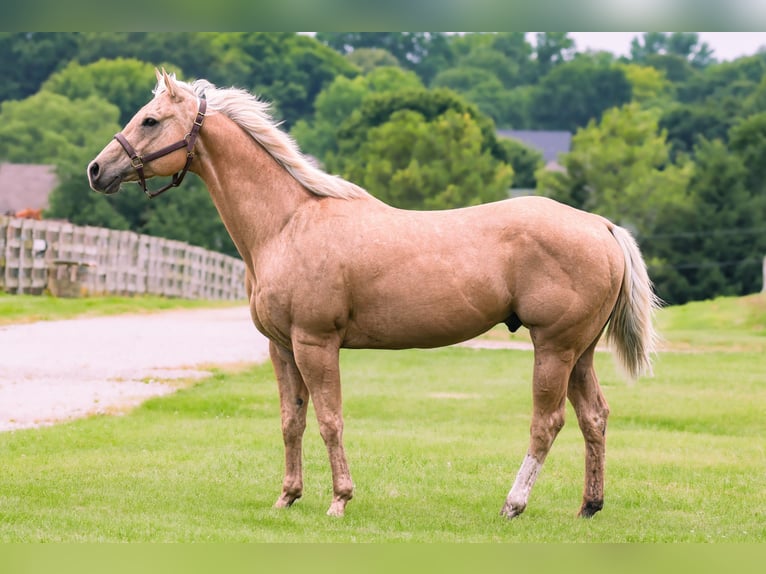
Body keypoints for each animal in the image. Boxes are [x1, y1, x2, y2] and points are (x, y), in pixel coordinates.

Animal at [88, 69, 659, 519]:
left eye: (151, 120)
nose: (97, 170)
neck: (288, 222)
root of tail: (601, 225)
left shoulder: (315, 343)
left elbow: (329, 419)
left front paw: (339, 499)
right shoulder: (281, 347)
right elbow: (292, 420)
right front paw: (287, 497)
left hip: (554, 348)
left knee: (548, 422)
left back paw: (513, 504)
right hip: (580, 352)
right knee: (594, 417)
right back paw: (589, 506)